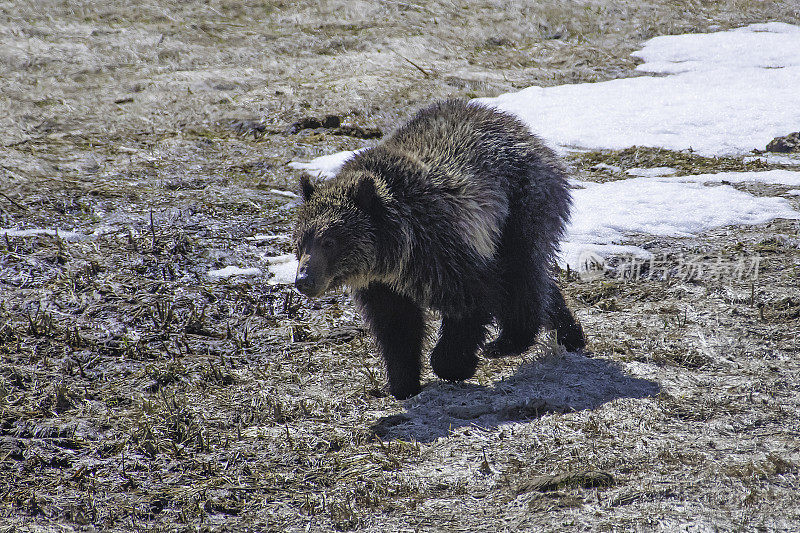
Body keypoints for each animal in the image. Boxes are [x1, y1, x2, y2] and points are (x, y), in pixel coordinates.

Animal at [294, 100, 588, 400]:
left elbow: (473, 301)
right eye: (300, 241)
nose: (303, 279)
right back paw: (570, 334)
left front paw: (455, 364)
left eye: (329, 241)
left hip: (519, 208)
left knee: (522, 271)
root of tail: (526, 131)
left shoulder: (444, 249)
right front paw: (403, 382)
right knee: (539, 280)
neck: (393, 255)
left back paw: (508, 341)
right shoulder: (381, 285)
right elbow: (396, 327)